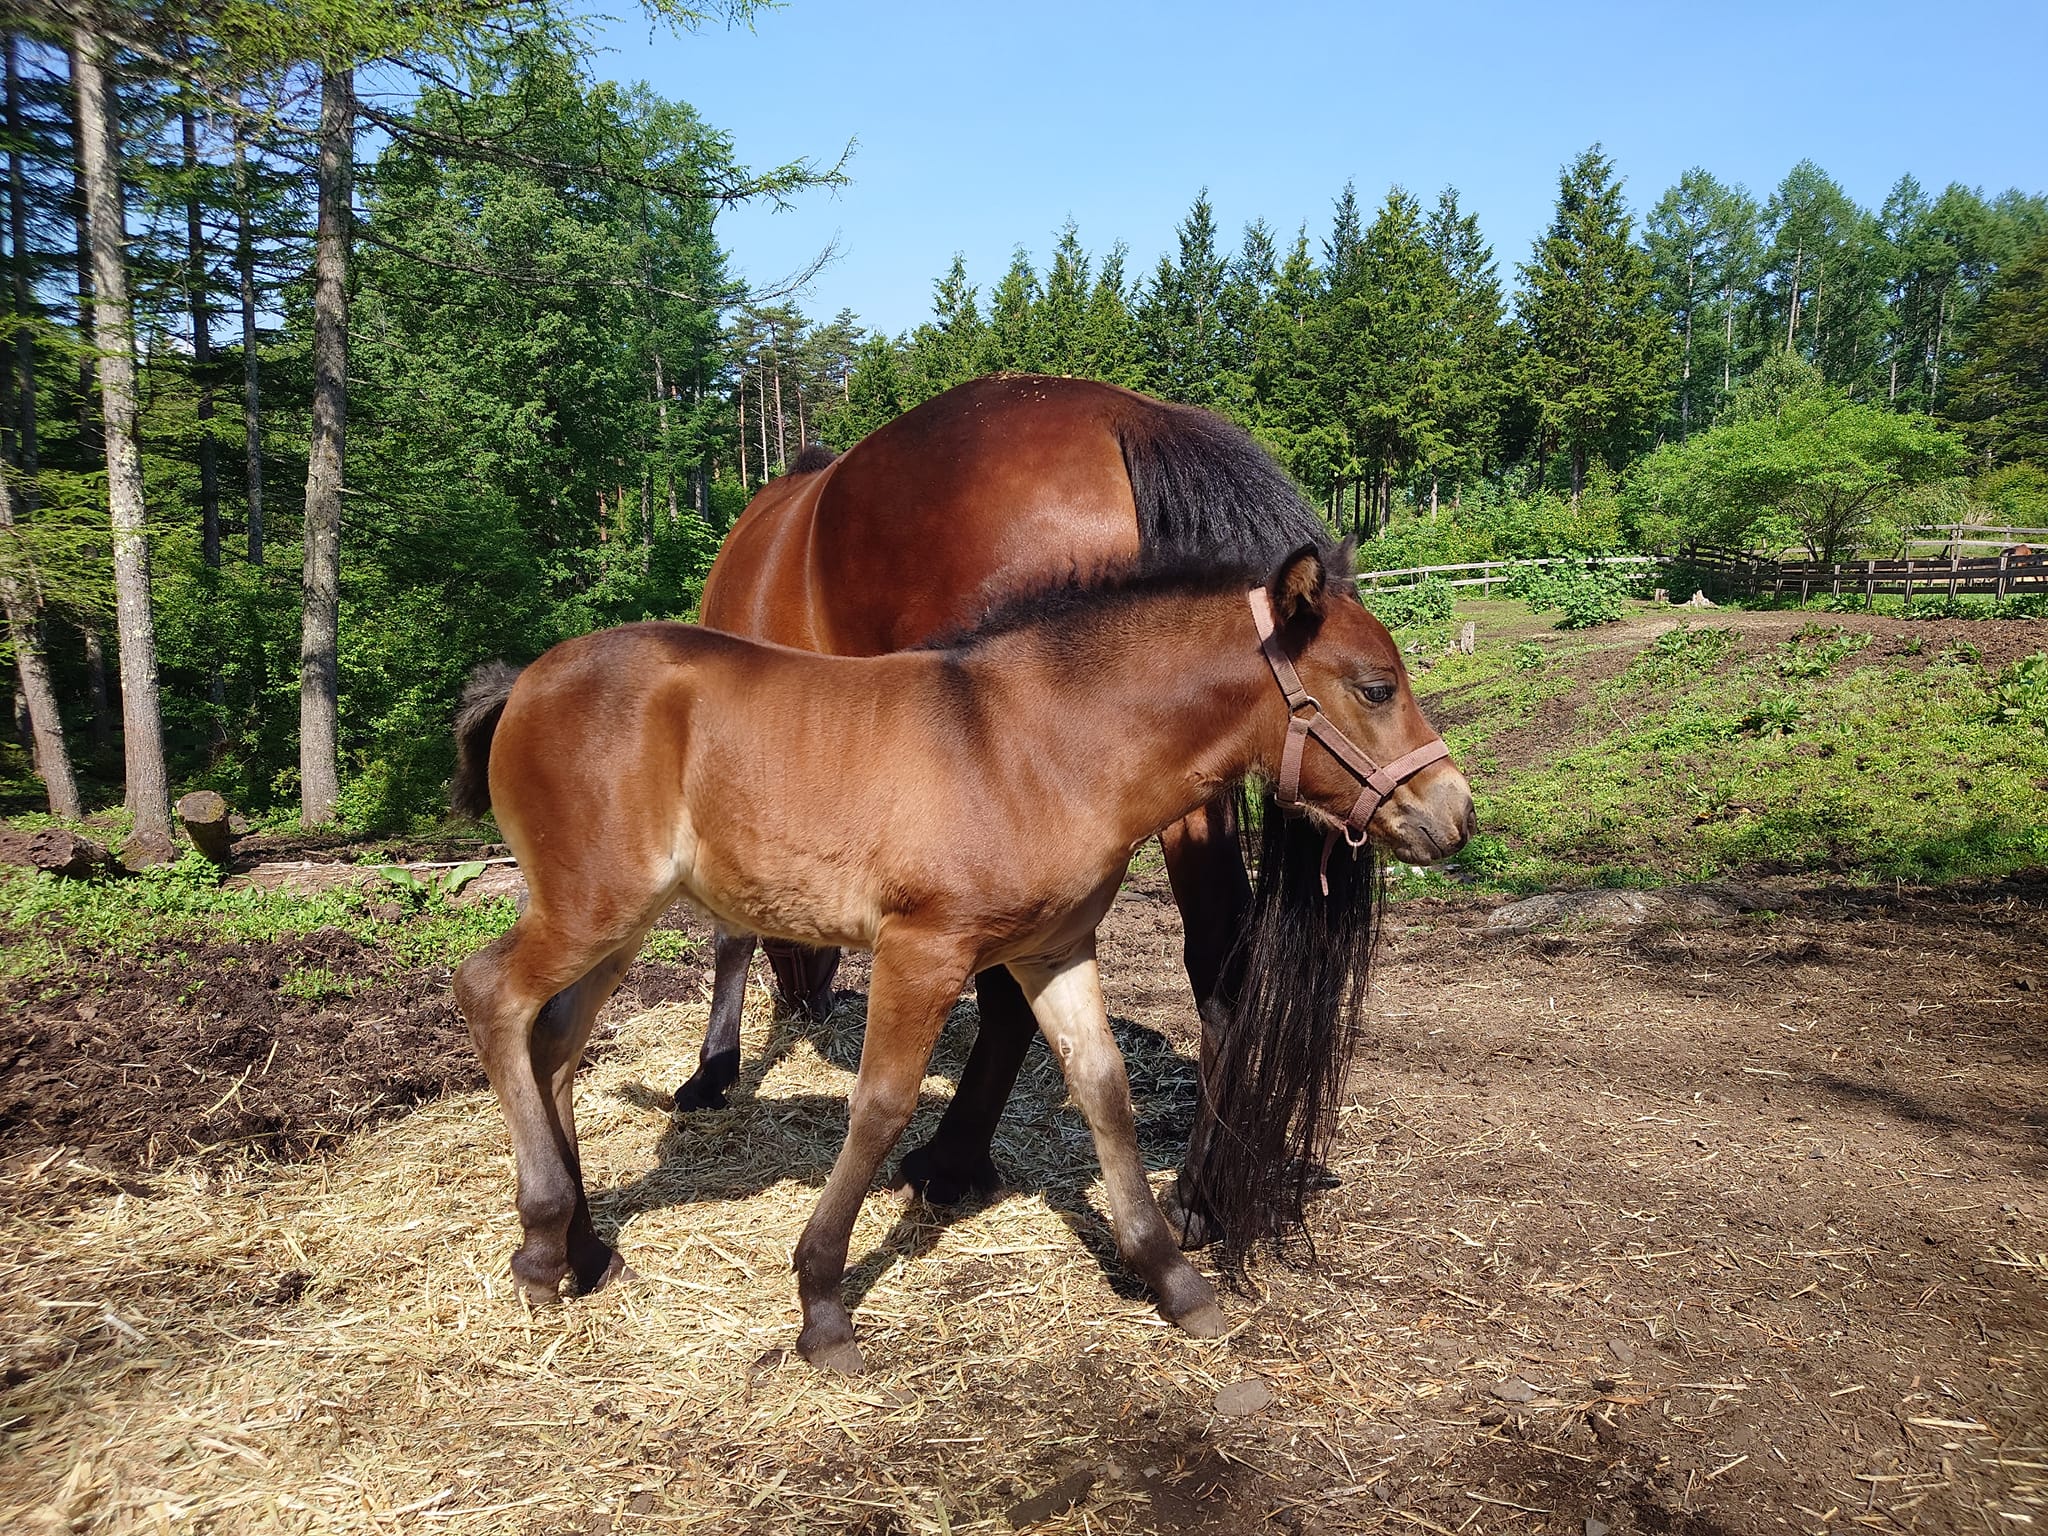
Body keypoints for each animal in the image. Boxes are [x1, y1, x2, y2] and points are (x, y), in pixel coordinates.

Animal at [450, 544, 1472, 1371]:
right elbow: (881, 1106)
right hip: (591, 908)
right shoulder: (923, 949)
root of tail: (526, 682)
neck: (1039, 747)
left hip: (617, 925)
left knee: (554, 1046)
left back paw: (583, 1249)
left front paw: (1175, 1281)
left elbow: (1104, 1090)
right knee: (490, 994)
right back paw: (541, 1244)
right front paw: (822, 1304)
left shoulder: (1055, 952)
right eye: (1375, 687)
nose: (1455, 816)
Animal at [676, 373, 1471, 1249]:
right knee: (1221, 963)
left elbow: (727, 929)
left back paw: (952, 1162)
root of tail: (1126, 417)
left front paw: (712, 1071)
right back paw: (1198, 1196)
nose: (810, 999)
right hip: (1187, 784)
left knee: (1009, 996)